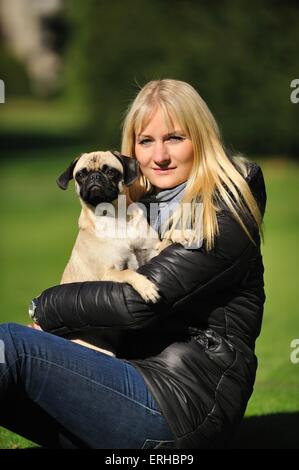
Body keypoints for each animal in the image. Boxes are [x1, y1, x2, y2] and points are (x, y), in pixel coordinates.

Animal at [57, 151, 163, 356]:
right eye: (81, 175)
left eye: (110, 171)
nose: (94, 177)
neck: (114, 217)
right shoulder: (109, 273)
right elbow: (129, 273)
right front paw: (146, 288)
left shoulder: (150, 253)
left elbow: (165, 243)